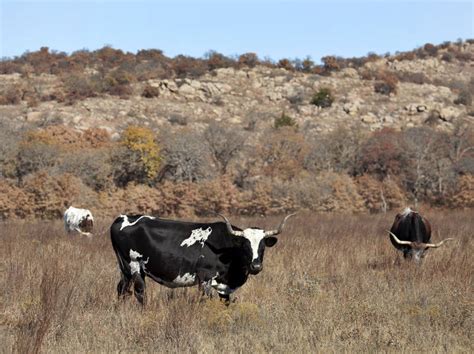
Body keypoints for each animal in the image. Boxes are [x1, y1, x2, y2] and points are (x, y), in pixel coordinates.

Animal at [109, 213, 294, 304]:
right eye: (245, 246)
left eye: (262, 246)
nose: (256, 266)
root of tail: (123, 217)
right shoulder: (205, 278)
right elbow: (205, 301)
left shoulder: (225, 286)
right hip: (134, 266)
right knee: (140, 292)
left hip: (125, 269)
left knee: (121, 289)